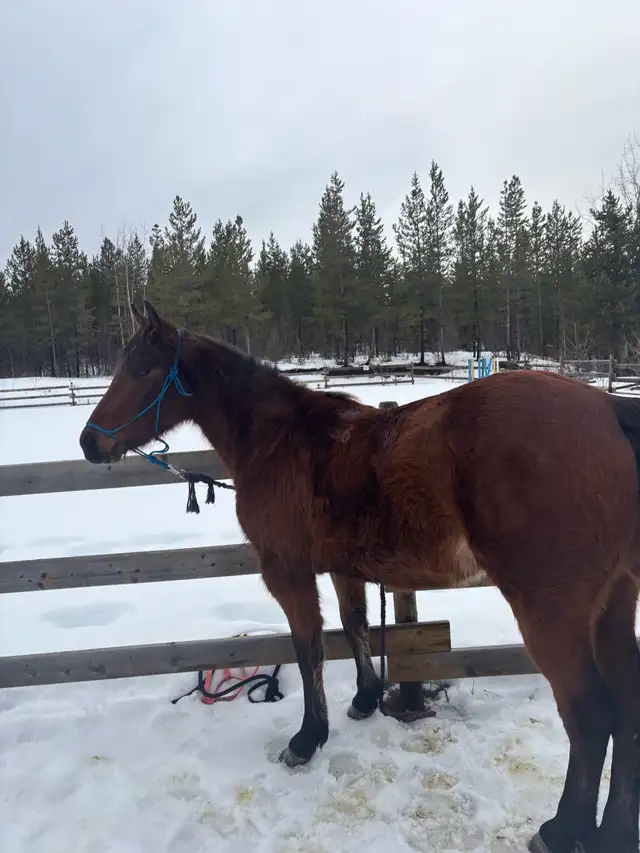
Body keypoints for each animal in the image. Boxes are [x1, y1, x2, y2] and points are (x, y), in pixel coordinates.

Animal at [79, 301, 640, 853]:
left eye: (142, 368)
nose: (89, 442)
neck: (280, 440)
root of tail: (607, 410)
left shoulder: (288, 573)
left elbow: (309, 649)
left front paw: (307, 739)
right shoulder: (343, 568)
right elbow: (355, 627)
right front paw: (366, 700)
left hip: (551, 614)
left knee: (590, 716)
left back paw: (560, 831)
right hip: (613, 607)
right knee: (625, 713)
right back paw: (612, 832)